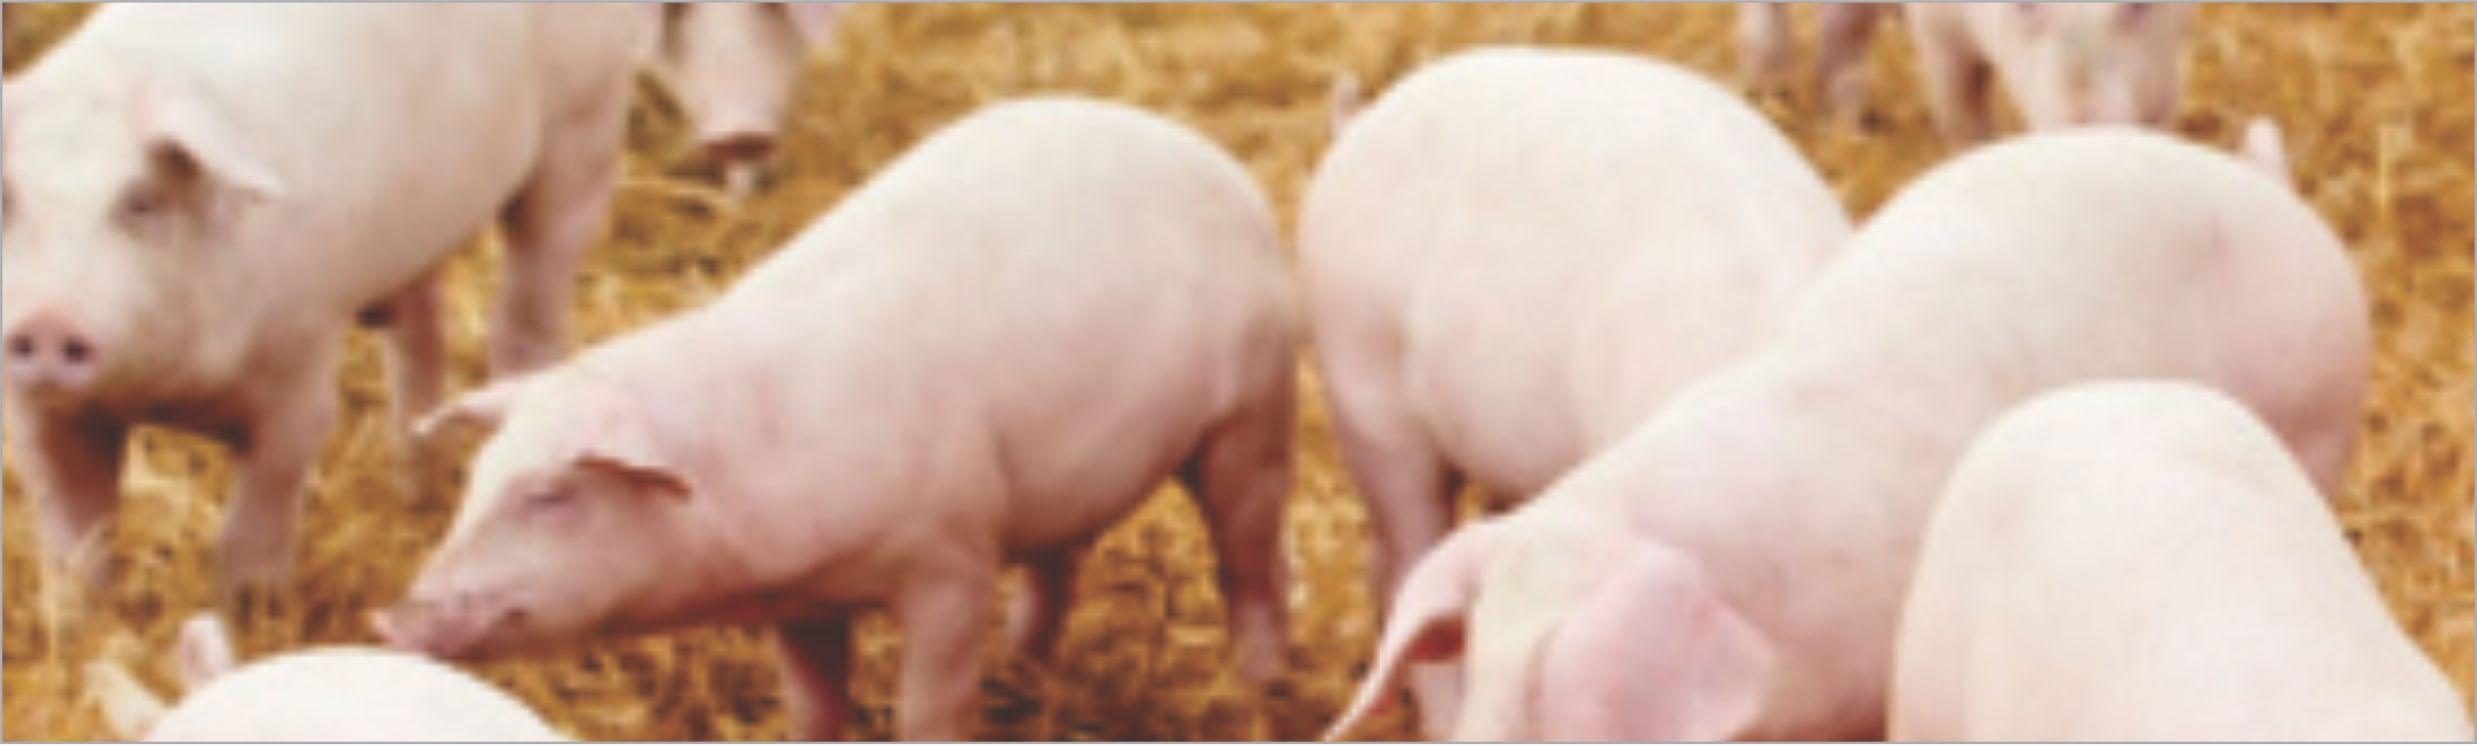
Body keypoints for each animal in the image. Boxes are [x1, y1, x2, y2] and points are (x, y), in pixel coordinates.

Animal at [0, 4, 651, 603]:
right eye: (8, 200)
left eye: (140, 201)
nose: (47, 324)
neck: (166, 395)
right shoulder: (38, 416)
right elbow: (73, 544)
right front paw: (82, 628)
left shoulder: (302, 365)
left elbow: (253, 524)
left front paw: (252, 614)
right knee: (420, 332)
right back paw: (416, 489)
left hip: (585, 123)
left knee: (528, 306)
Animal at [375, 97, 1299, 741]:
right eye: (476, 479)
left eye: (552, 495)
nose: (392, 616)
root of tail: (1201, 150)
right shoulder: (800, 601)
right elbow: (813, 706)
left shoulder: (951, 555)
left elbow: (927, 707)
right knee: (1056, 566)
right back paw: (1023, 680)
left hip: (1254, 406)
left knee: (1248, 563)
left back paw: (1254, 694)